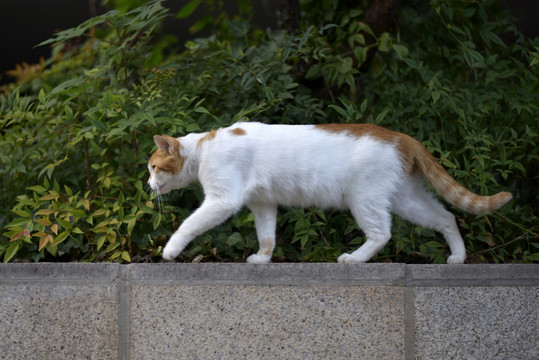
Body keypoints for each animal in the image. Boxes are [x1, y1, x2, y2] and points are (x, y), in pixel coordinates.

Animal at [149, 122, 516, 262]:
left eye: (152, 167)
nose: (148, 184)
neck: (204, 147)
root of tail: (400, 135)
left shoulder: (222, 200)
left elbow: (188, 225)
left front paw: (170, 251)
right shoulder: (263, 203)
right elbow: (267, 236)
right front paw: (263, 259)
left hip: (364, 199)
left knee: (382, 234)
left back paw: (353, 259)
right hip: (407, 199)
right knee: (447, 217)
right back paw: (458, 257)